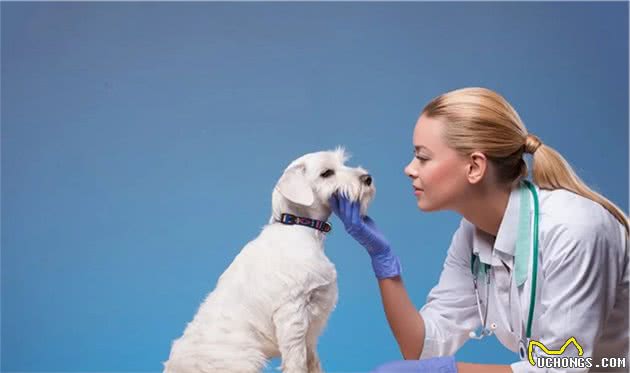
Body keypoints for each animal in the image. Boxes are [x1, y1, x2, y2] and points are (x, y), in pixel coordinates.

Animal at [165, 147, 378, 372]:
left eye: (343, 163)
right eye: (327, 173)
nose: (367, 178)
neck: (299, 226)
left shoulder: (310, 328)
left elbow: (312, 360)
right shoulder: (292, 314)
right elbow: (296, 361)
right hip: (245, 359)